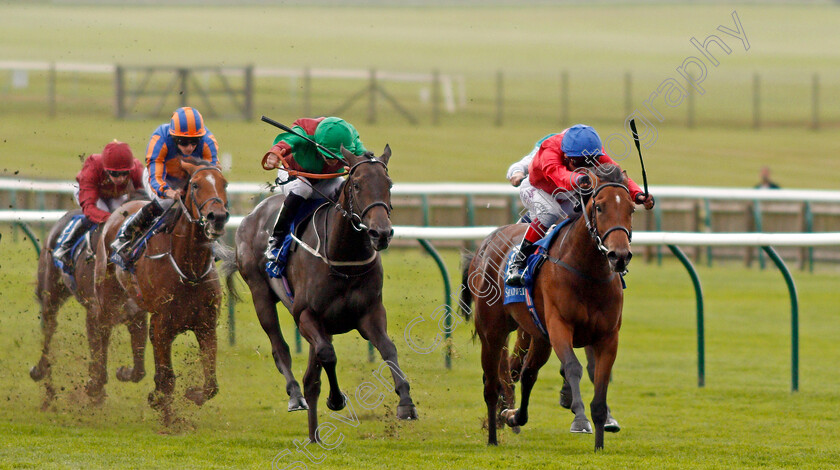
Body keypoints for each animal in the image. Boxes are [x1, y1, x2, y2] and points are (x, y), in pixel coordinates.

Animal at [30, 201, 149, 408]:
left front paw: (120, 374)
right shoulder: (94, 315)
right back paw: (44, 380)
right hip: (51, 293)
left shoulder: (137, 317)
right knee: (49, 331)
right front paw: (94, 387)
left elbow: (139, 370)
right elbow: (98, 357)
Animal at [93, 159, 230, 422]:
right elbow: (167, 380)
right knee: (102, 331)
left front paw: (191, 394)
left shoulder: (206, 325)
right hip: (107, 293)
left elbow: (211, 384)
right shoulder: (163, 324)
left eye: (224, 184)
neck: (189, 269)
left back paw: (128, 373)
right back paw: (94, 384)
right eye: (195, 185)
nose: (217, 217)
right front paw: (168, 417)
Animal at [462, 167, 632, 450]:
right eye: (599, 207)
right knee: (492, 383)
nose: (619, 256)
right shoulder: (560, 326)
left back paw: (512, 416)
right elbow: (572, 367)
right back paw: (494, 435)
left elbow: (599, 379)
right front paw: (580, 417)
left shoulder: (607, 336)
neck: (587, 272)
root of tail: (487, 242)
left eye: (631, 208)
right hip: (493, 332)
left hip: (538, 336)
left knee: (527, 374)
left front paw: (600, 439)